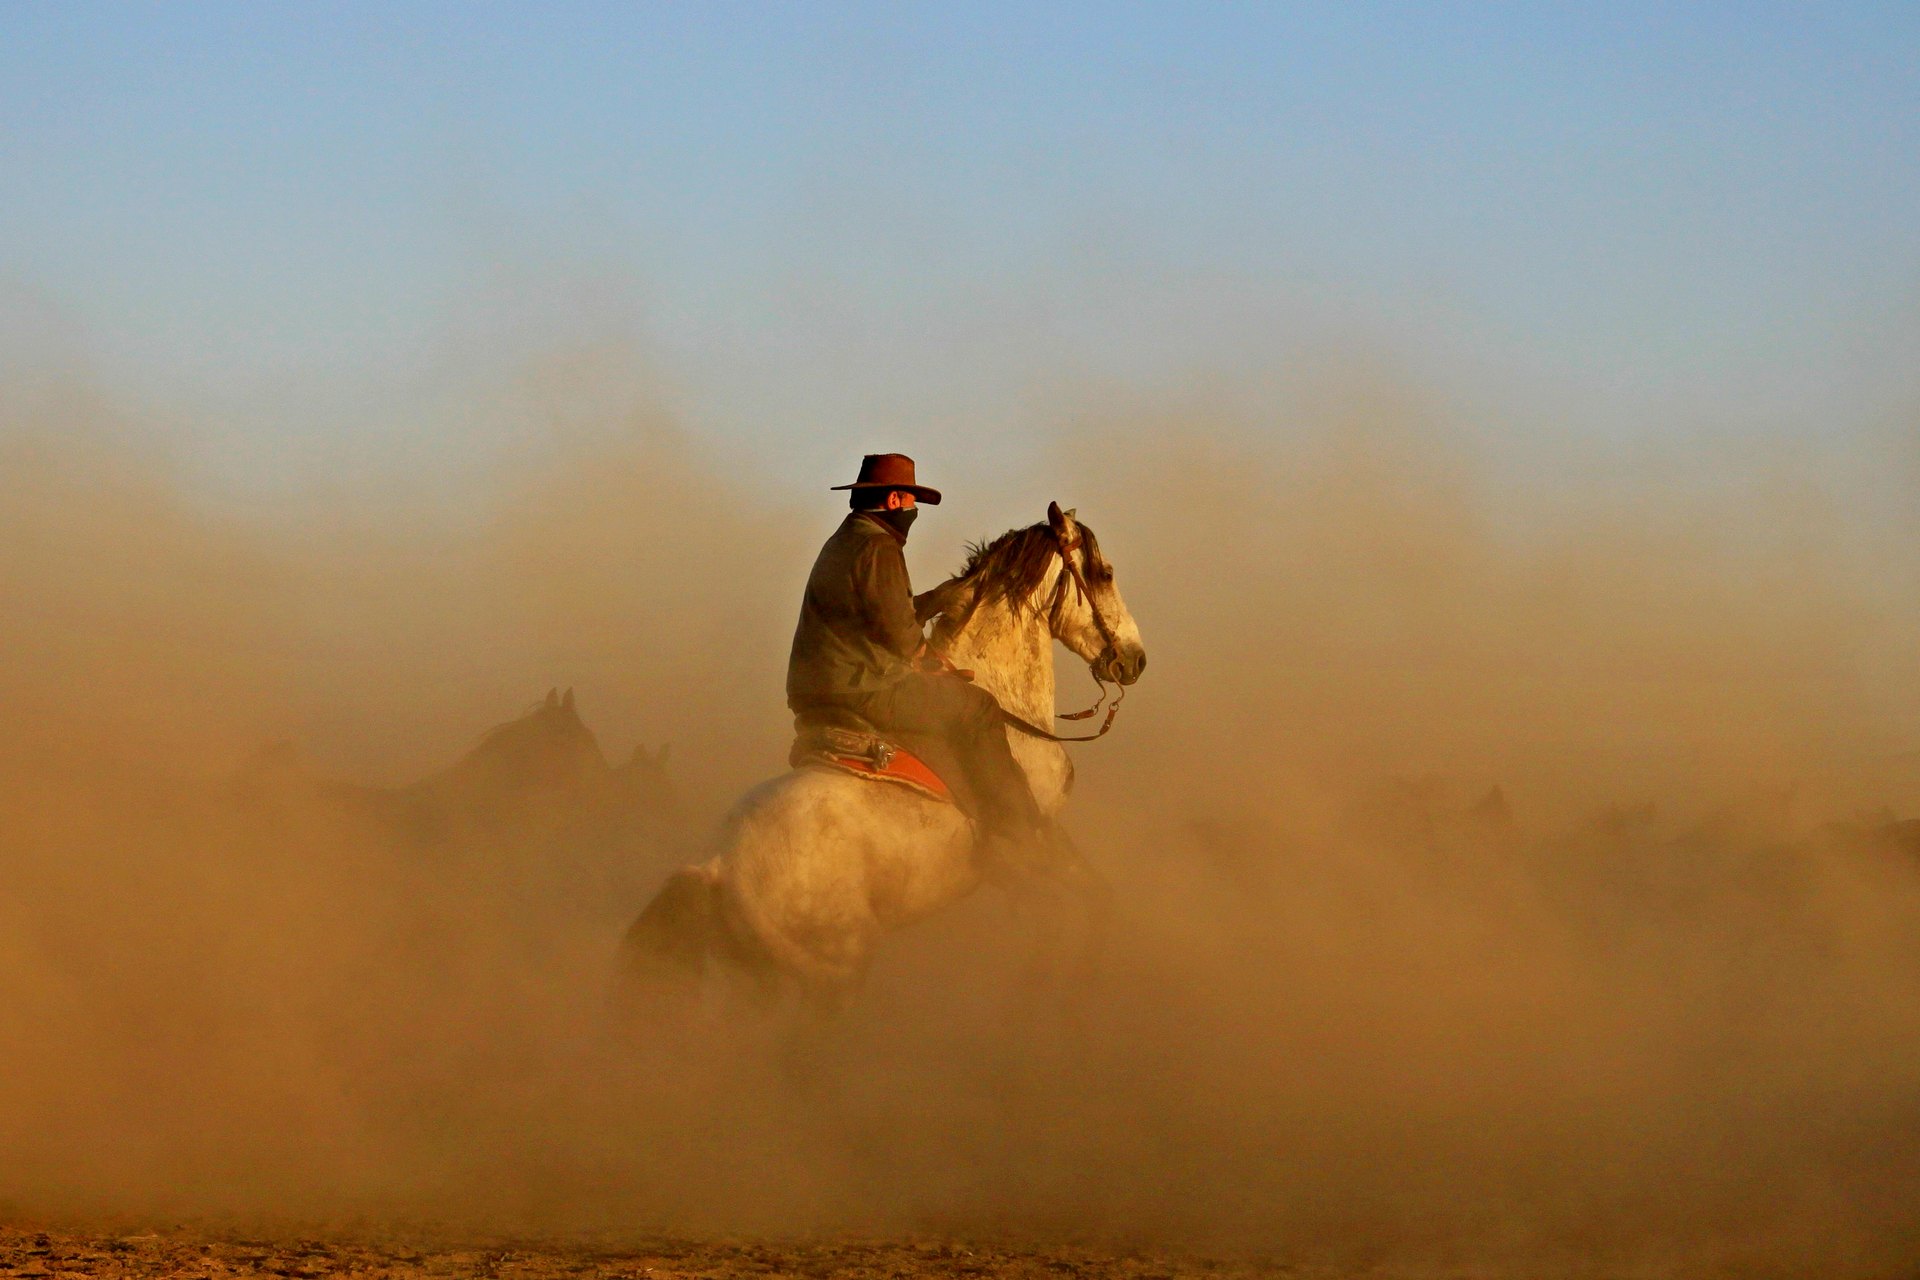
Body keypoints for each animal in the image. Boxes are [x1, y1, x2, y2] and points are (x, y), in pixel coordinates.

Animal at [622, 506, 1144, 1013]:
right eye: (1104, 572)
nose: (1136, 660)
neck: (1008, 707)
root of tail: (716, 869)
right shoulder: (1023, 856)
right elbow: (1069, 915)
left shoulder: (1044, 842)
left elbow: (1099, 897)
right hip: (836, 973)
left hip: (761, 983)